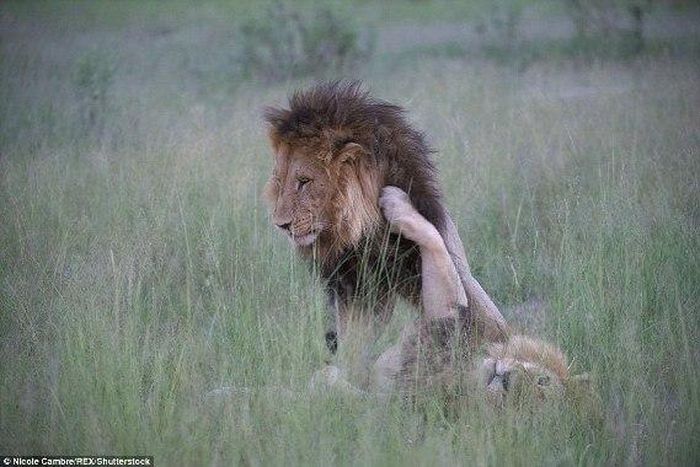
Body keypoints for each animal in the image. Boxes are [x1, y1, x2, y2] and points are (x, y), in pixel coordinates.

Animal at [264, 81, 508, 353]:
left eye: (304, 181)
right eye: (279, 182)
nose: (281, 225)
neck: (369, 236)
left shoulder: (487, 318)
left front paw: (397, 202)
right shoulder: (354, 300)